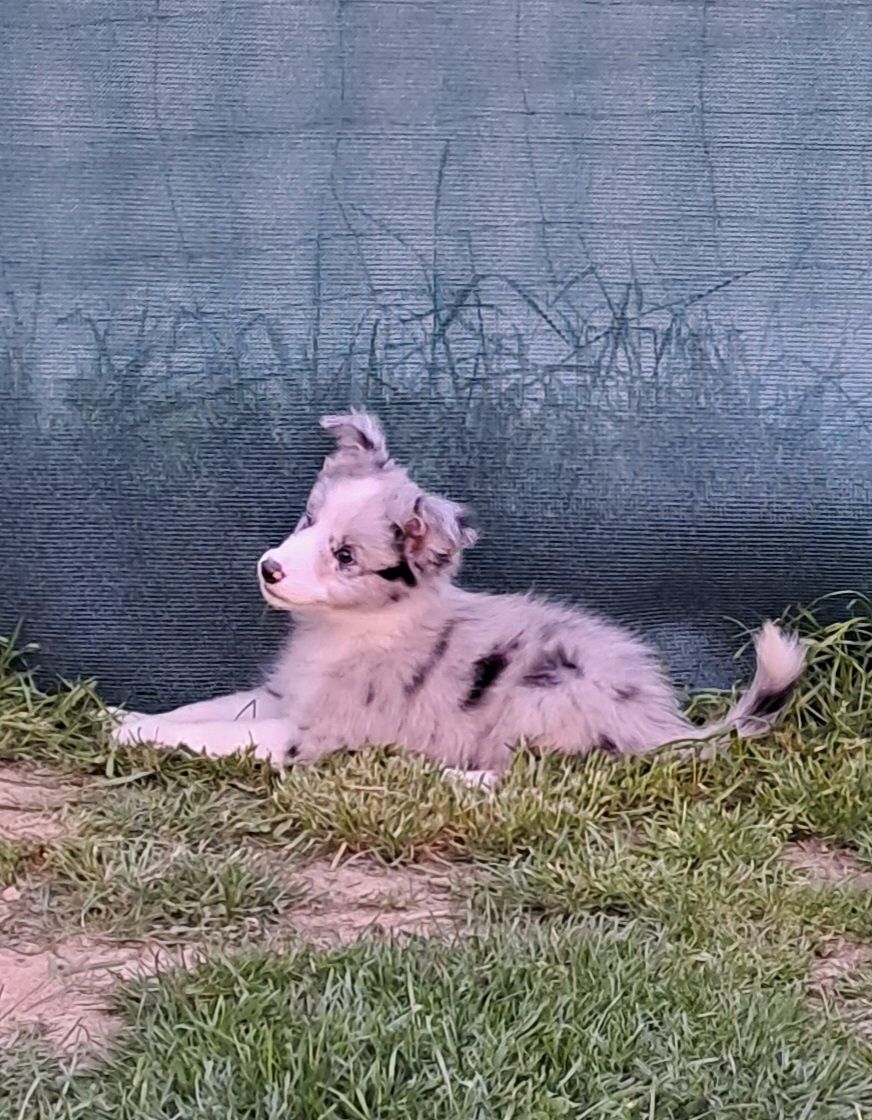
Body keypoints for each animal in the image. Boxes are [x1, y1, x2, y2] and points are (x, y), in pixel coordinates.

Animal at [114, 407, 805, 784]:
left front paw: (129, 734)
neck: (345, 631)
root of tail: (662, 728)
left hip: (541, 697)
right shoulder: (283, 694)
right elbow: (207, 709)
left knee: (525, 779)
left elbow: (220, 735)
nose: (269, 569)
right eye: (308, 520)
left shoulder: (309, 733)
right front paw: (128, 716)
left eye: (346, 556)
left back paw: (447, 777)